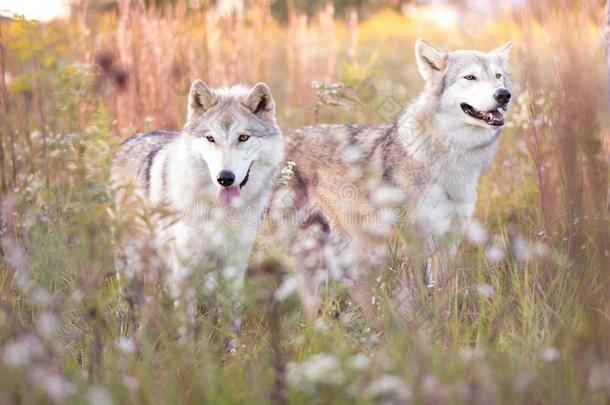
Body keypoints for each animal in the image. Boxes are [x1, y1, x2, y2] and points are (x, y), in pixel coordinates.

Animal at [111, 79, 282, 334]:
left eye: (243, 137)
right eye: (211, 139)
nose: (225, 178)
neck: (219, 212)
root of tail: (131, 139)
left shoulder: (233, 267)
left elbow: (231, 322)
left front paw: (231, 346)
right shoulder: (185, 270)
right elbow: (187, 326)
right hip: (131, 261)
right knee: (129, 298)